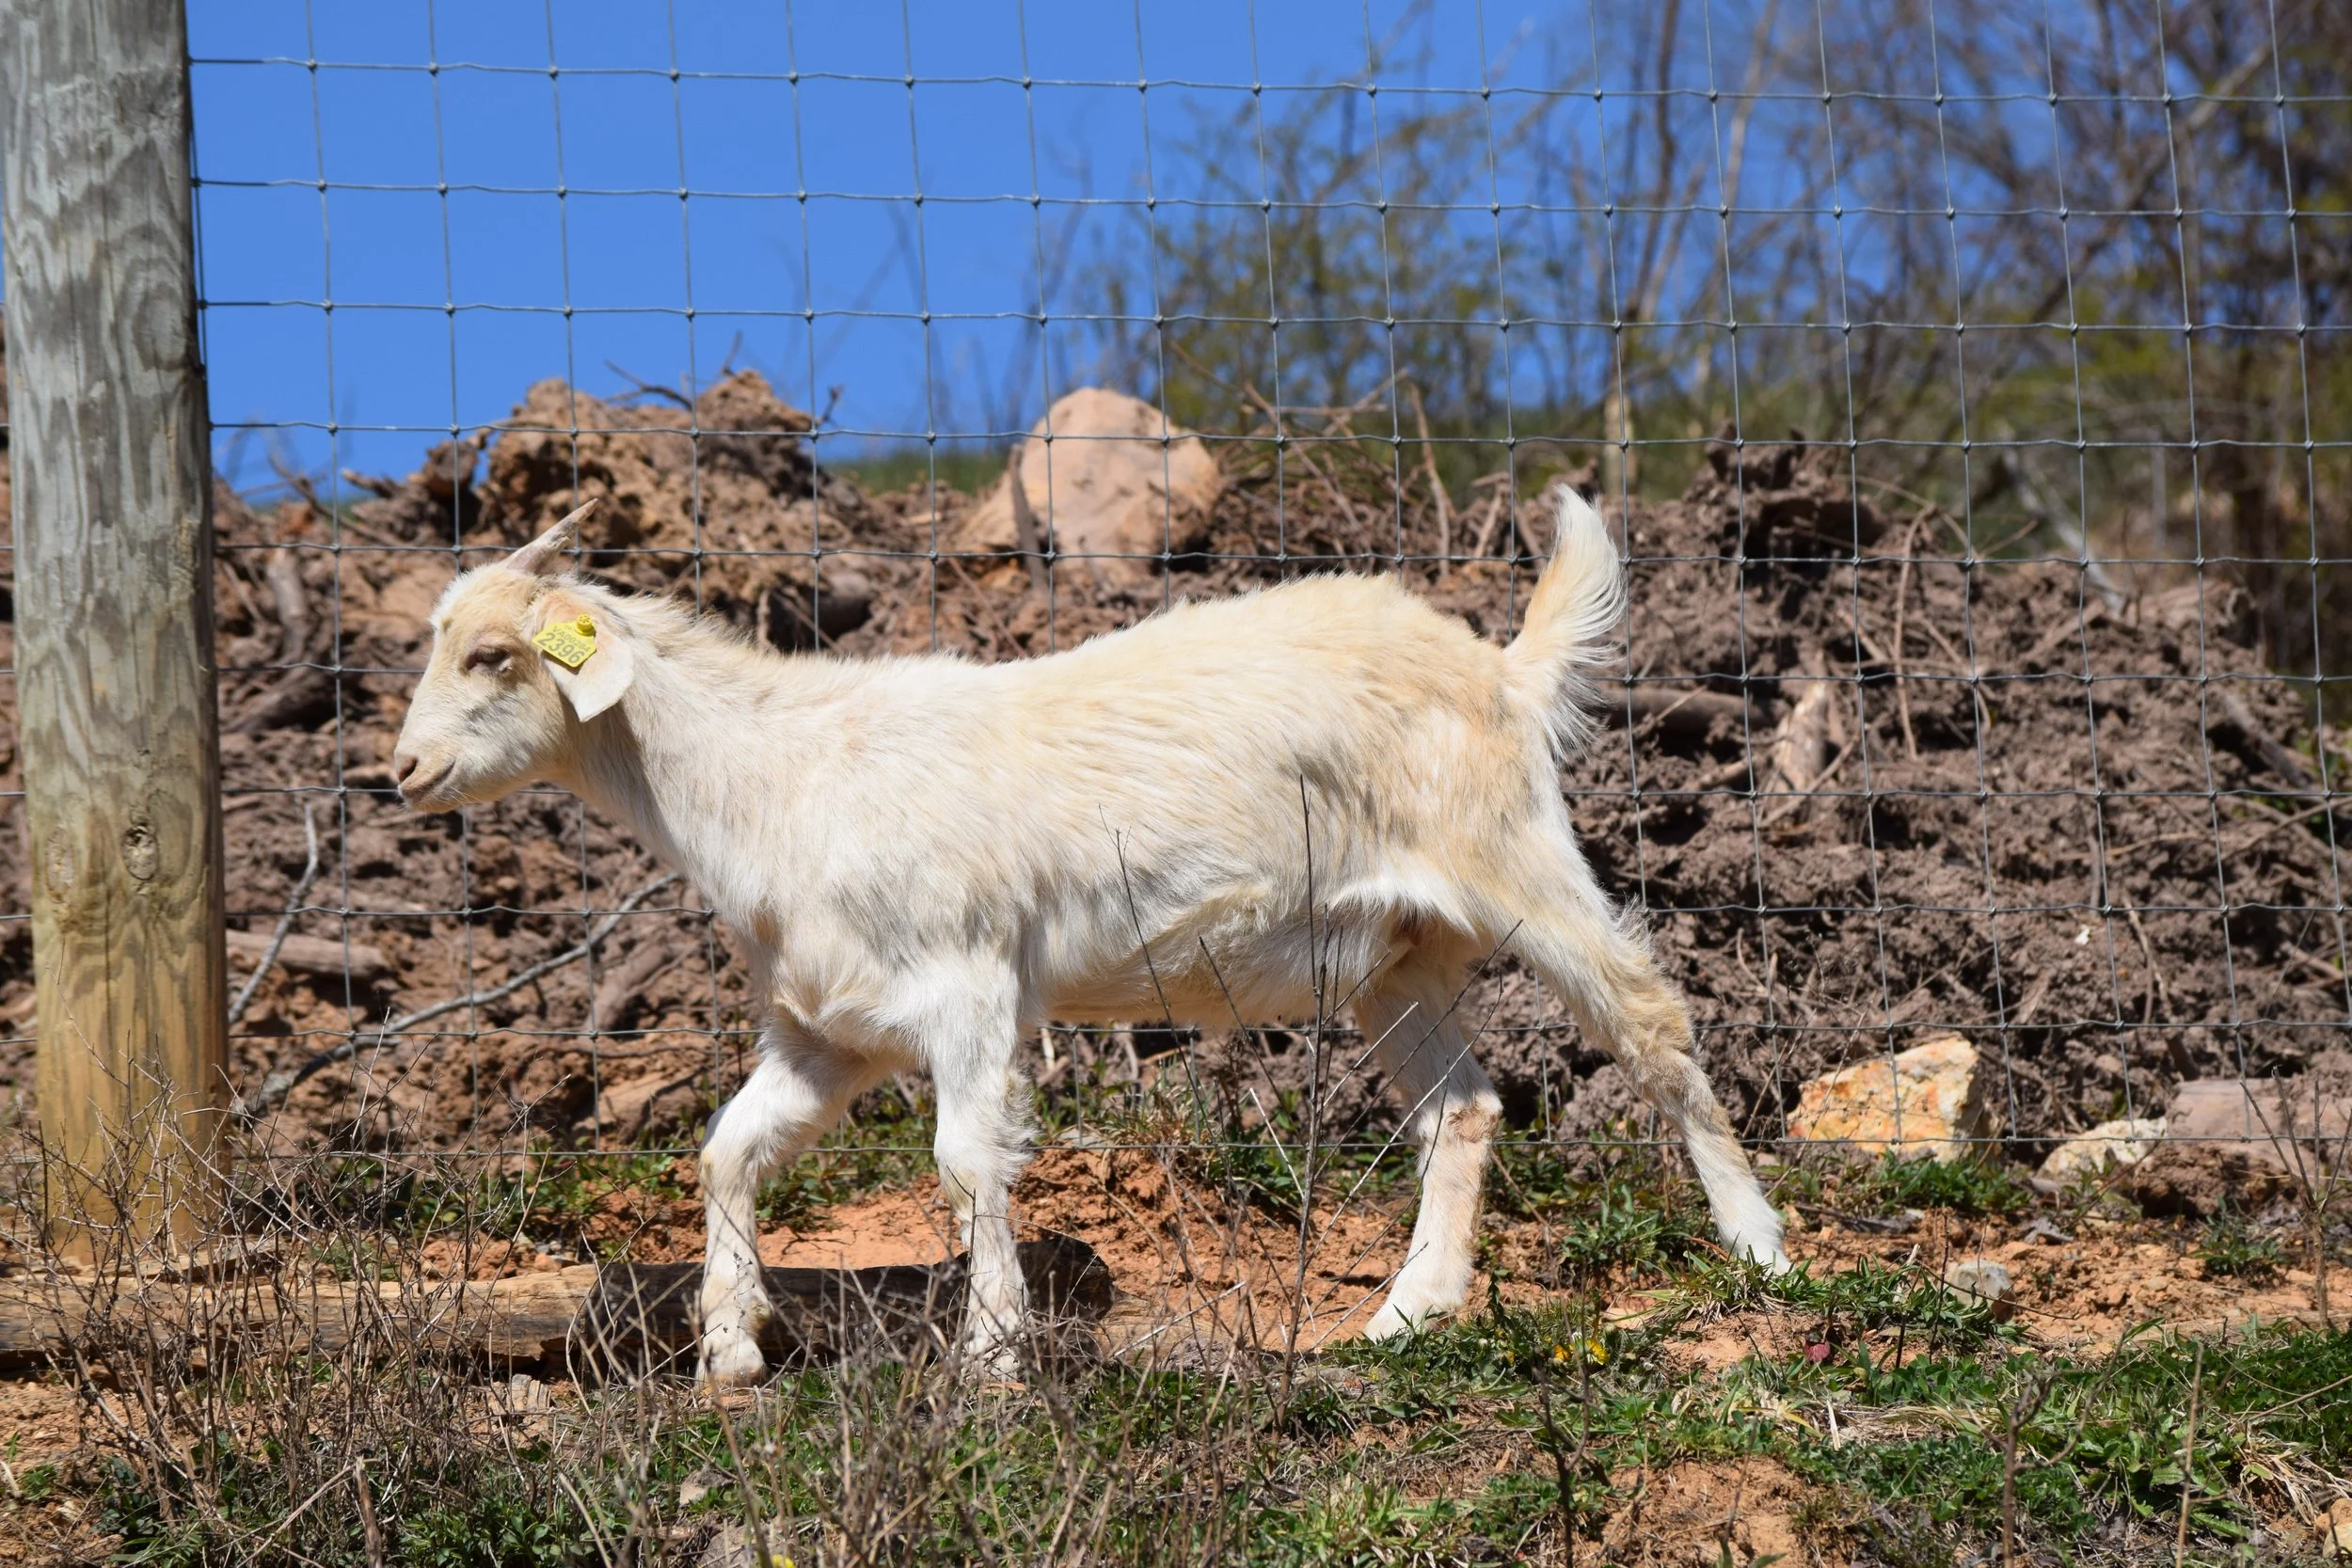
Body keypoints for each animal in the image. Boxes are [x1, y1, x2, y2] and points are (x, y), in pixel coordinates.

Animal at [391, 489, 1787, 1386]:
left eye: (495, 653)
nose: (401, 769)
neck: (784, 777)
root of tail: (1501, 668)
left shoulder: (966, 985)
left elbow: (964, 1162)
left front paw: (995, 1353)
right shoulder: (826, 1028)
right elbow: (727, 1149)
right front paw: (732, 1347)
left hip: (1513, 859)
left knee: (1650, 1021)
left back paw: (1760, 1250)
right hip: (1394, 956)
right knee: (1463, 1104)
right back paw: (1405, 1316)